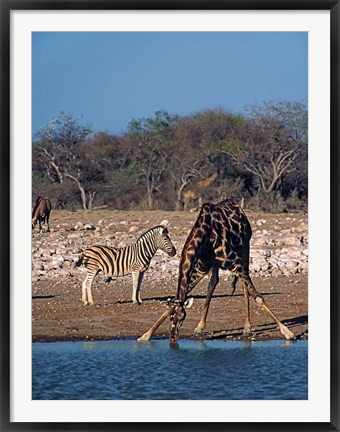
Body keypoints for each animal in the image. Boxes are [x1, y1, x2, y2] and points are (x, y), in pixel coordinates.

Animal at [138, 199, 294, 344]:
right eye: (170, 317)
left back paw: (247, 328)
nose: (172, 338)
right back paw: (200, 327)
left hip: (245, 249)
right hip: (214, 265)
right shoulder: (201, 268)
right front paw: (145, 336)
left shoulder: (235, 264)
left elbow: (258, 297)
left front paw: (288, 333)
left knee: (244, 287)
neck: (205, 235)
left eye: (182, 316)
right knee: (213, 283)